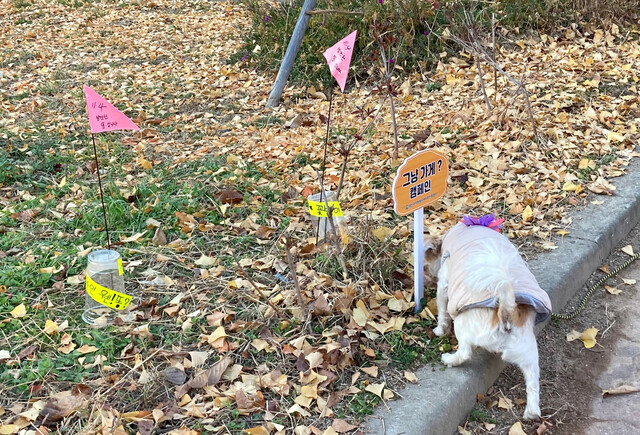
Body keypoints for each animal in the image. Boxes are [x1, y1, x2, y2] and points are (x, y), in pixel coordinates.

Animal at [424, 220, 552, 420]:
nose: (427, 278)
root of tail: (508, 312)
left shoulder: (444, 284)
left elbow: (442, 310)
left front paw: (439, 330)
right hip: (529, 354)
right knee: (533, 383)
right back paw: (531, 413)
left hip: (463, 325)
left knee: (465, 352)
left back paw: (450, 359)